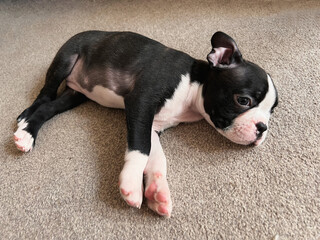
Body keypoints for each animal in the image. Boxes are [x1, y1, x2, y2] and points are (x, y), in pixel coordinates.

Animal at [13, 30, 278, 218]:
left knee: (49, 108)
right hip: (66, 59)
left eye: (271, 111)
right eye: (243, 100)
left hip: (75, 96)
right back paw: (25, 125)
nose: (262, 128)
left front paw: (157, 191)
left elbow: (157, 157)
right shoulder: (140, 102)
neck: (193, 86)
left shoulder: (153, 125)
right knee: (44, 96)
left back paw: (29, 131)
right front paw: (131, 183)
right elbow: (141, 149)